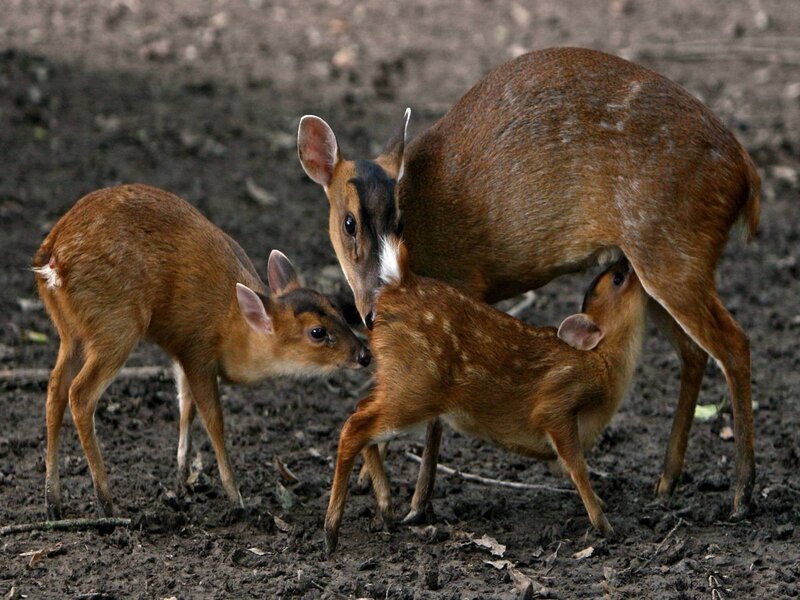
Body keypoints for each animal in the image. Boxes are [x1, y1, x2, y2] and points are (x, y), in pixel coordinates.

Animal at [32, 184, 370, 520]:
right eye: (317, 332)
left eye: (337, 308)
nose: (364, 354)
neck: (233, 325)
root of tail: (52, 261)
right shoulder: (197, 351)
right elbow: (214, 420)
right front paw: (235, 498)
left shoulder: (181, 350)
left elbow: (185, 405)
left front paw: (182, 477)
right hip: (116, 324)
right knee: (80, 394)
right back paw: (107, 504)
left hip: (71, 331)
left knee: (54, 388)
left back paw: (52, 501)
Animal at [323, 240, 647, 552]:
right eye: (617, 279)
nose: (627, 260)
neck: (604, 363)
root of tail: (397, 283)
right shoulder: (559, 397)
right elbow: (577, 465)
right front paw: (604, 525)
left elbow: (569, 467)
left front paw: (603, 505)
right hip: (417, 386)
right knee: (354, 426)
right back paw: (331, 533)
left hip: (397, 380)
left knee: (360, 408)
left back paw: (386, 510)